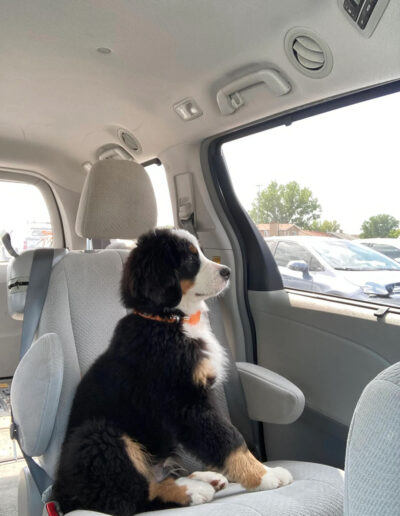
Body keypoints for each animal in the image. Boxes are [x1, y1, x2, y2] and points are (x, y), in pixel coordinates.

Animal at [52, 230, 290, 516]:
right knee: (129, 496)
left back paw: (204, 478)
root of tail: (61, 495)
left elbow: (224, 435)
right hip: (97, 436)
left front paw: (264, 471)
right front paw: (264, 475)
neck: (169, 321)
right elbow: (230, 438)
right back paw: (192, 490)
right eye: (188, 258)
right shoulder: (185, 400)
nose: (227, 272)